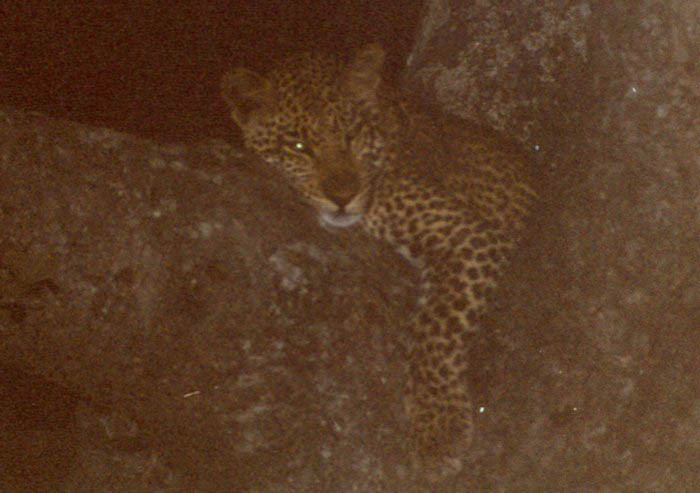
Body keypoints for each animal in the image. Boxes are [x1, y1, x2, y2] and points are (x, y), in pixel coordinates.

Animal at [219, 44, 536, 464]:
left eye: (351, 136)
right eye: (299, 148)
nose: (343, 196)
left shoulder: (472, 235)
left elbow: (437, 330)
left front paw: (439, 425)